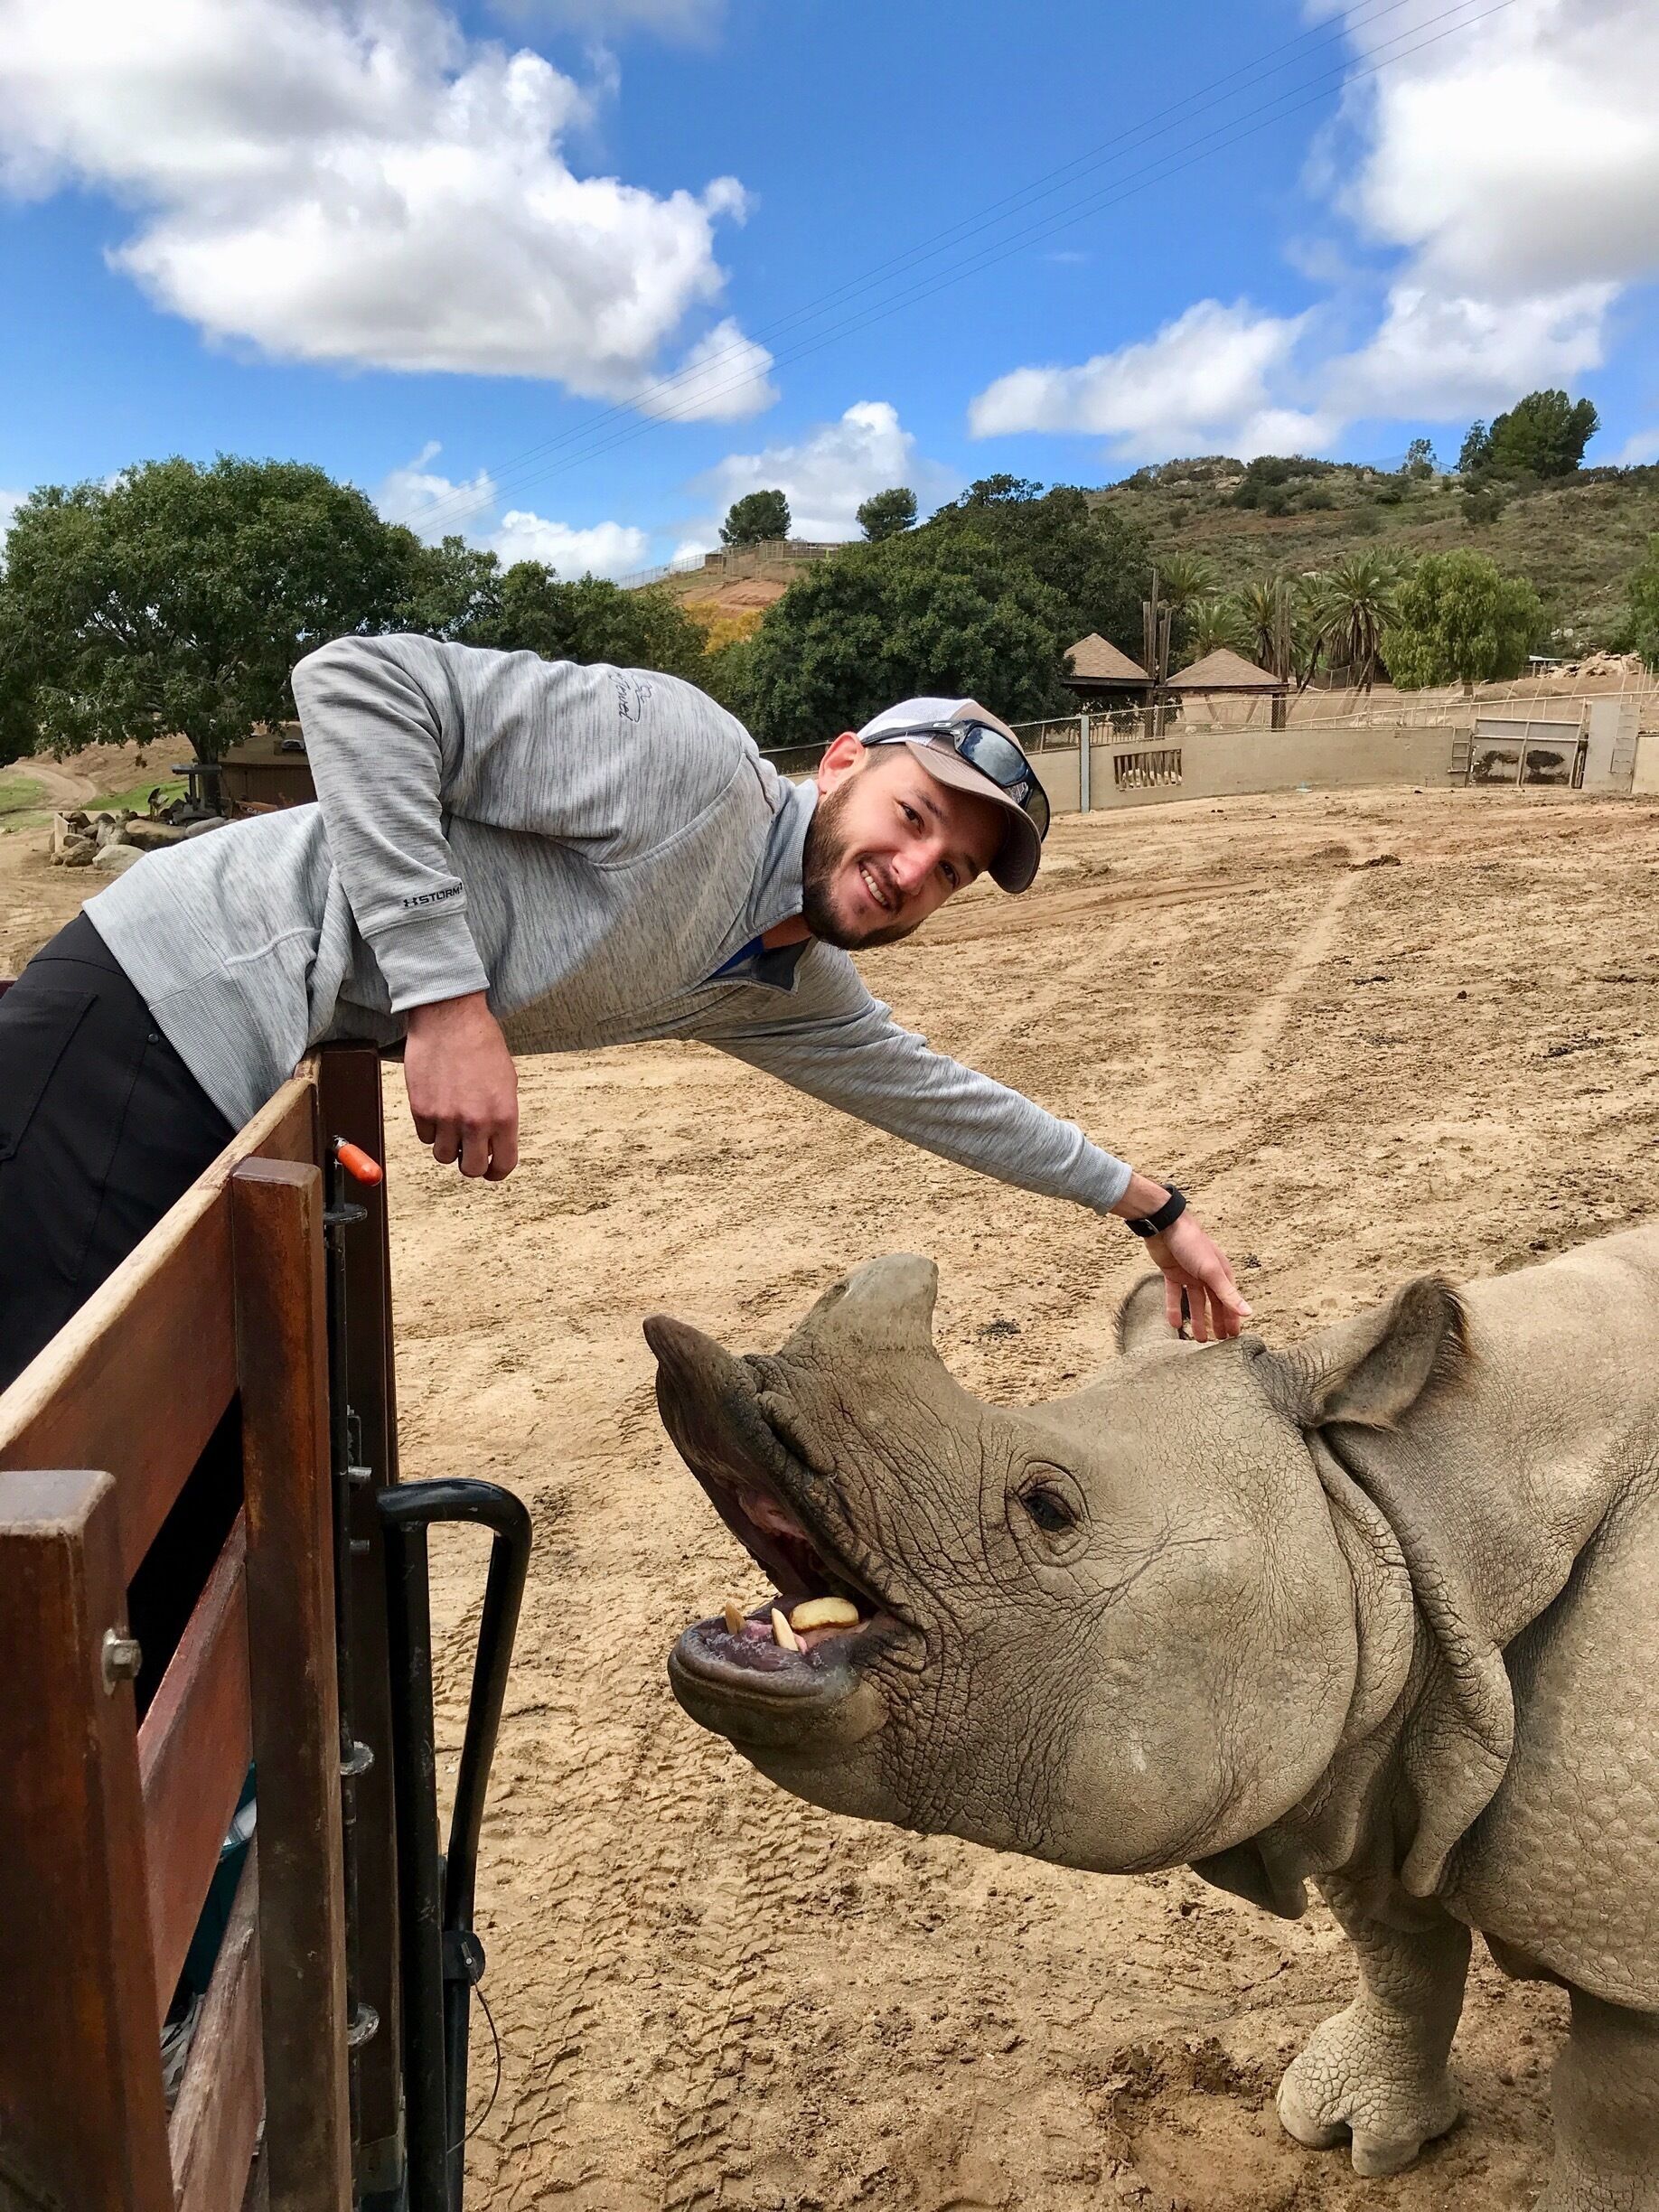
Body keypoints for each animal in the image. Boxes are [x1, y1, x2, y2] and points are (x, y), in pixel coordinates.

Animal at [646, 1235, 1659, 2212]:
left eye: (1046, 1507)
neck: (1391, 1509)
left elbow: (1611, 2102)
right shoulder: (1355, 1743)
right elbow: (1396, 1953)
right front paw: (1347, 2134)